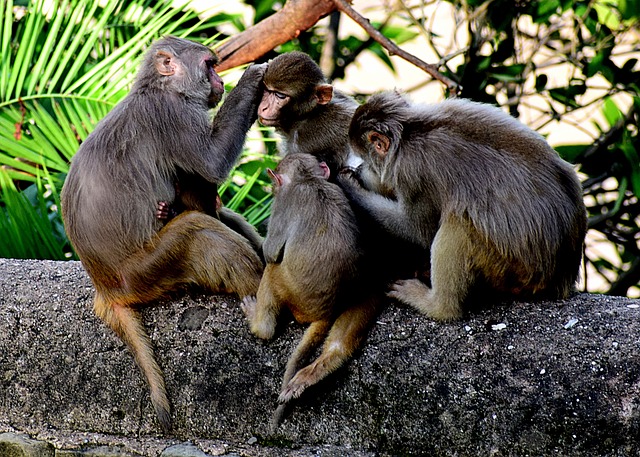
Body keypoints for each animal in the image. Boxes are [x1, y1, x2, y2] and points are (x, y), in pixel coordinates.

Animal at [60, 36, 268, 432]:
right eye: (210, 65)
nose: (220, 82)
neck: (158, 88)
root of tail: (106, 289)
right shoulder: (173, 114)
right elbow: (211, 162)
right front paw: (253, 78)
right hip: (146, 272)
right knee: (196, 230)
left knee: (215, 219)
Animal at [240, 152, 380, 428]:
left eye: (276, 186)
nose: (273, 188)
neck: (309, 180)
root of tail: (325, 312)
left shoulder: (283, 204)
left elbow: (270, 252)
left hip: (289, 291)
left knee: (272, 270)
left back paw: (259, 324)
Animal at [340, 91, 592, 320]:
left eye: (367, 161)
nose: (362, 169)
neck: (410, 131)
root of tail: (561, 278)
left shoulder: (411, 172)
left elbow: (417, 230)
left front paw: (352, 187)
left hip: (512, 270)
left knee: (458, 227)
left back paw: (439, 307)